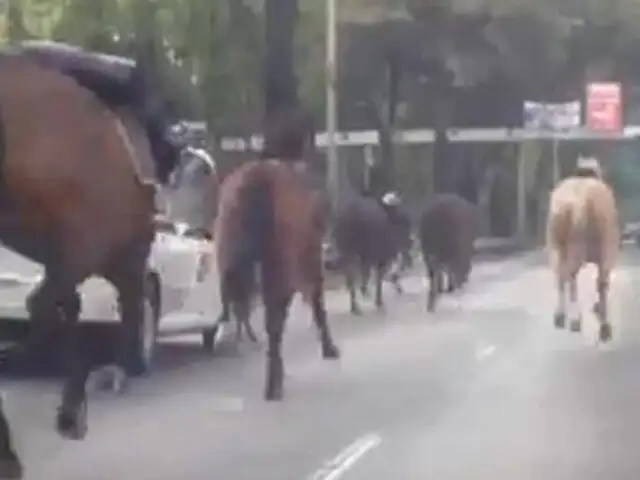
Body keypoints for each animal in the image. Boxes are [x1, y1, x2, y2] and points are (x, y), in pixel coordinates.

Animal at [215, 147, 340, 402]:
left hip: (230, 260)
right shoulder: (306, 265)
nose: (332, 256)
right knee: (272, 317)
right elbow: (315, 303)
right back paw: (274, 383)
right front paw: (329, 347)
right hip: (280, 265)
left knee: (235, 303)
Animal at [544, 155, 620, 342]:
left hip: (555, 244)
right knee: (572, 277)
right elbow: (602, 283)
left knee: (560, 275)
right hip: (577, 244)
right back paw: (576, 319)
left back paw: (560, 316)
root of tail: (568, 206)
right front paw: (603, 321)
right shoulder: (608, 251)